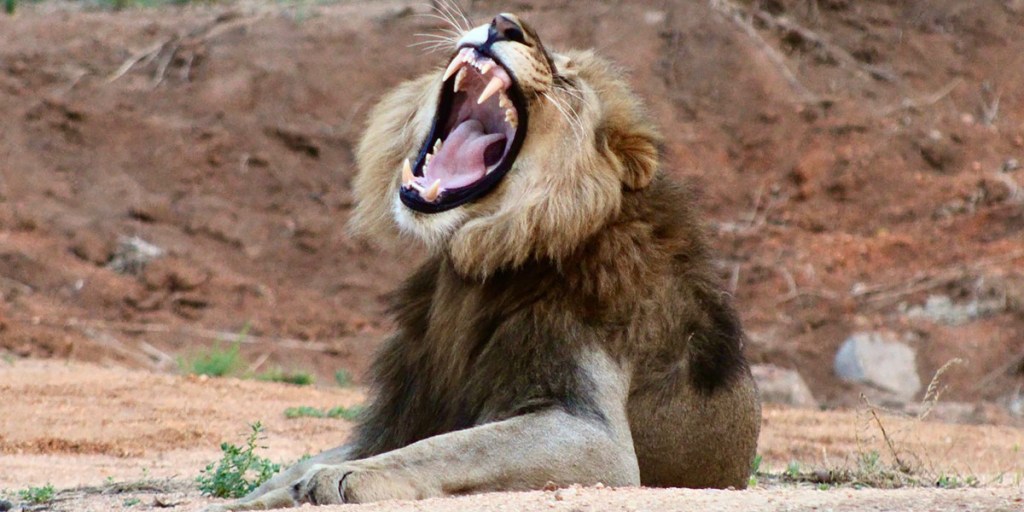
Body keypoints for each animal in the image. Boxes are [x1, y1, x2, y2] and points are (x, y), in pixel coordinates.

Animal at [204, 12, 760, 510]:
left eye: (565, 77)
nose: (504, 23)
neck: (472, 269)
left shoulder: (592, 434)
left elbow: (448, 448)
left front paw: (343, 476)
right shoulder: (408, 408)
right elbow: (301, 464)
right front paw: (249, 498)